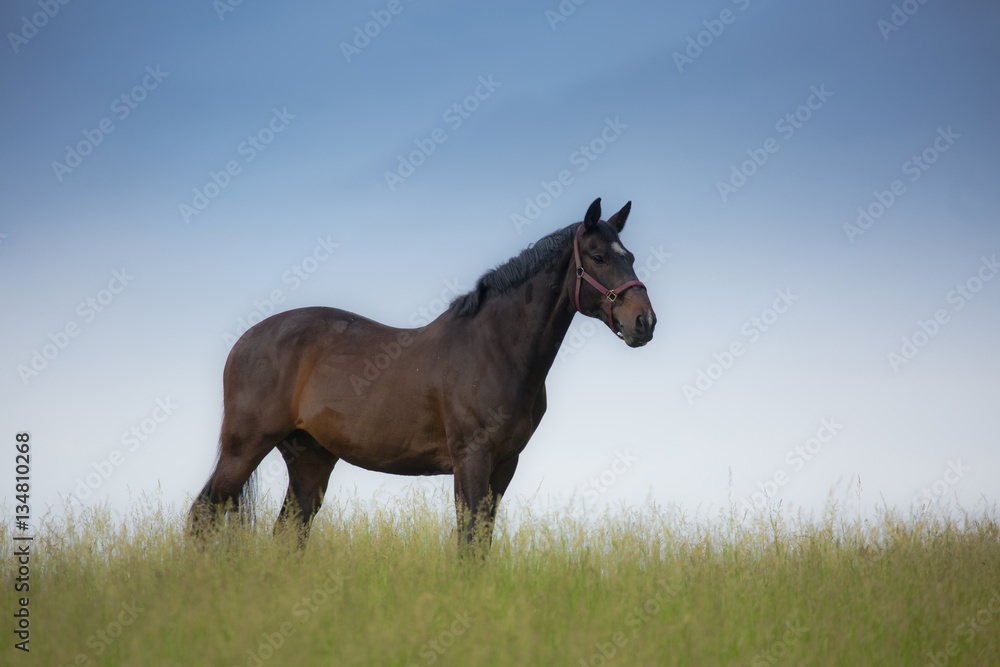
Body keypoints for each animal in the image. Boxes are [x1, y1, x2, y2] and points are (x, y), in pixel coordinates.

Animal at [188, 198, 657, 548]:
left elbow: (482, 541)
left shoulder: (505, 465)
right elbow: (468, 540)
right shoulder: (472, 460)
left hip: (310, 458)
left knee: (287, 533)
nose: (644, 322)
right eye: (598, 257)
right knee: (201, 516)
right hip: (244, 448)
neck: (495, 348)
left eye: (631, 257)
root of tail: (246, 339)